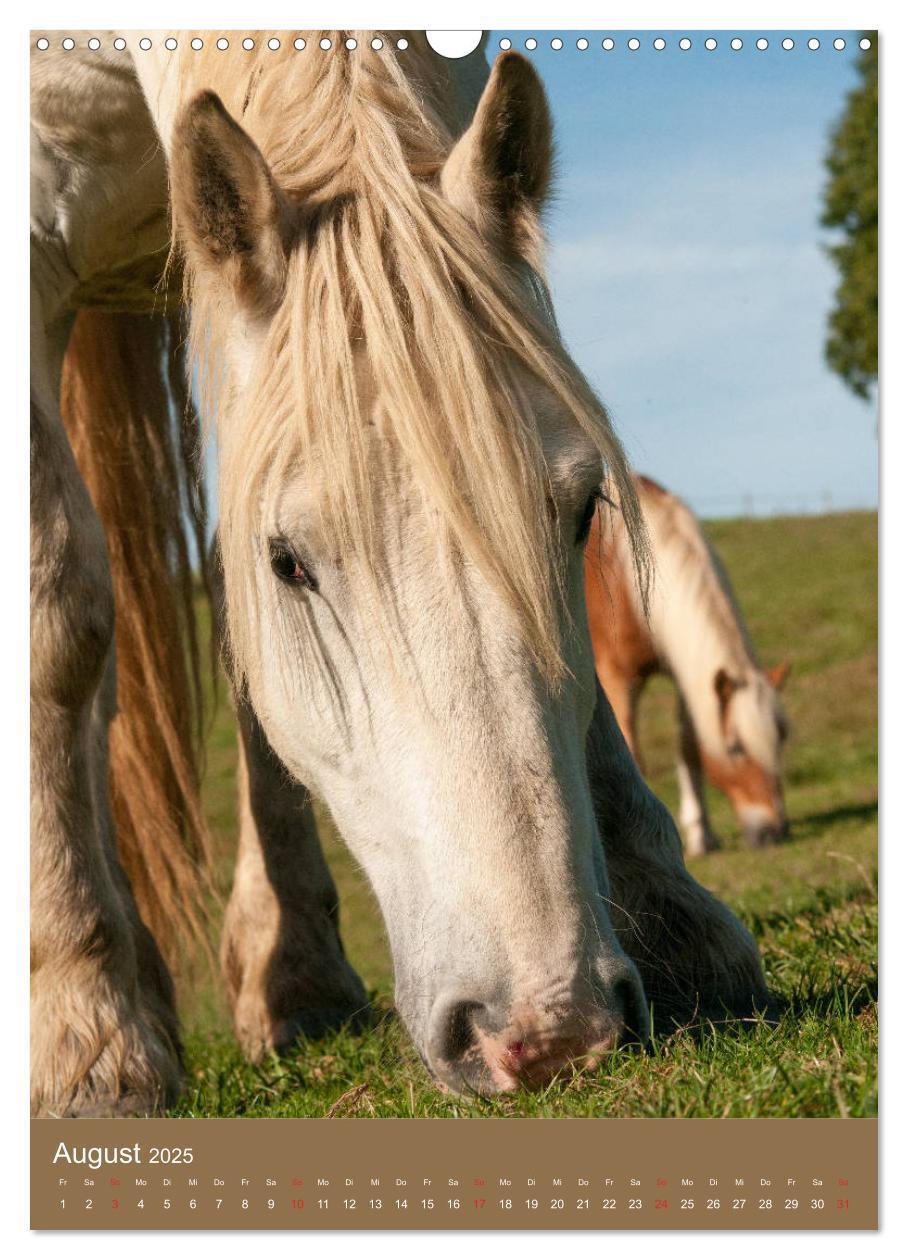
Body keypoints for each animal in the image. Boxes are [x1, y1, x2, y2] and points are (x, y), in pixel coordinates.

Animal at [30, 29, 765, 1113]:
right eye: (288, 562)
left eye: (583, 512)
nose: (549, 1029)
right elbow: (60, 610)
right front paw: (87, 1031)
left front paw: (678, 927)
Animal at [586, 476, 785, 861]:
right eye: (736, 748)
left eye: (782, 739)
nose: (775, 833)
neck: (626, 572)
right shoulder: (619, 677)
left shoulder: (687, 677)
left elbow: (689, 747)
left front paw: (701, 835)